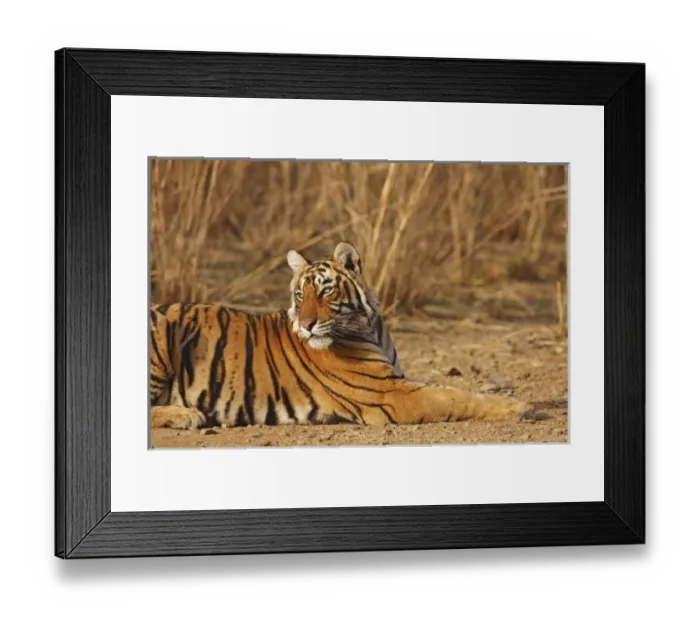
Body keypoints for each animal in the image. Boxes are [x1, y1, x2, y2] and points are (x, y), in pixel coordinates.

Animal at [150, 241, 535, 429]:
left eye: (325, 291)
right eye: (300, 295)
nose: (306, 324)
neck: (371, 326)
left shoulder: (397, 380)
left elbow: (451, 390)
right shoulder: (391, 393)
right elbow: (454, 396)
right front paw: (520, 407)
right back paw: (186, 415)